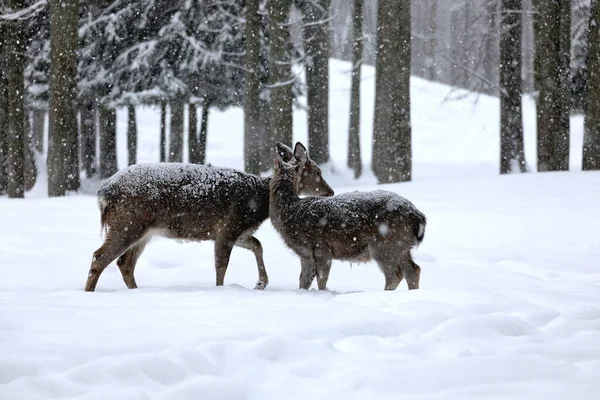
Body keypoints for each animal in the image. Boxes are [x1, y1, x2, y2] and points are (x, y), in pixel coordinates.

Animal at [82, 142, 336, 292]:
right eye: (317, 172)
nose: (331, 191)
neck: (259, 202)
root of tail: (103, 193)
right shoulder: (229, 227)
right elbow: (221, 266)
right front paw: (221, 291)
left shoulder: (236, 231)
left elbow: (257, 244)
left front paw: (261, 283)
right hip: (128, 222)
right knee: (100, 256)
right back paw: (89, 293)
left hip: (144, 230)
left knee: (125, 262)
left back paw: (134, 291)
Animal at [268, 141, 426, 290]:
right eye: (317, 172)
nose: (330, 191)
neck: (291, 211)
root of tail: (418, 216)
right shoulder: (305, 254)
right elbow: (303, 281)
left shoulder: (321, 246)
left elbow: (322, 281)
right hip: (401, 245)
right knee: (413, 270)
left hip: (385, 243)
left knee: (395, 274)